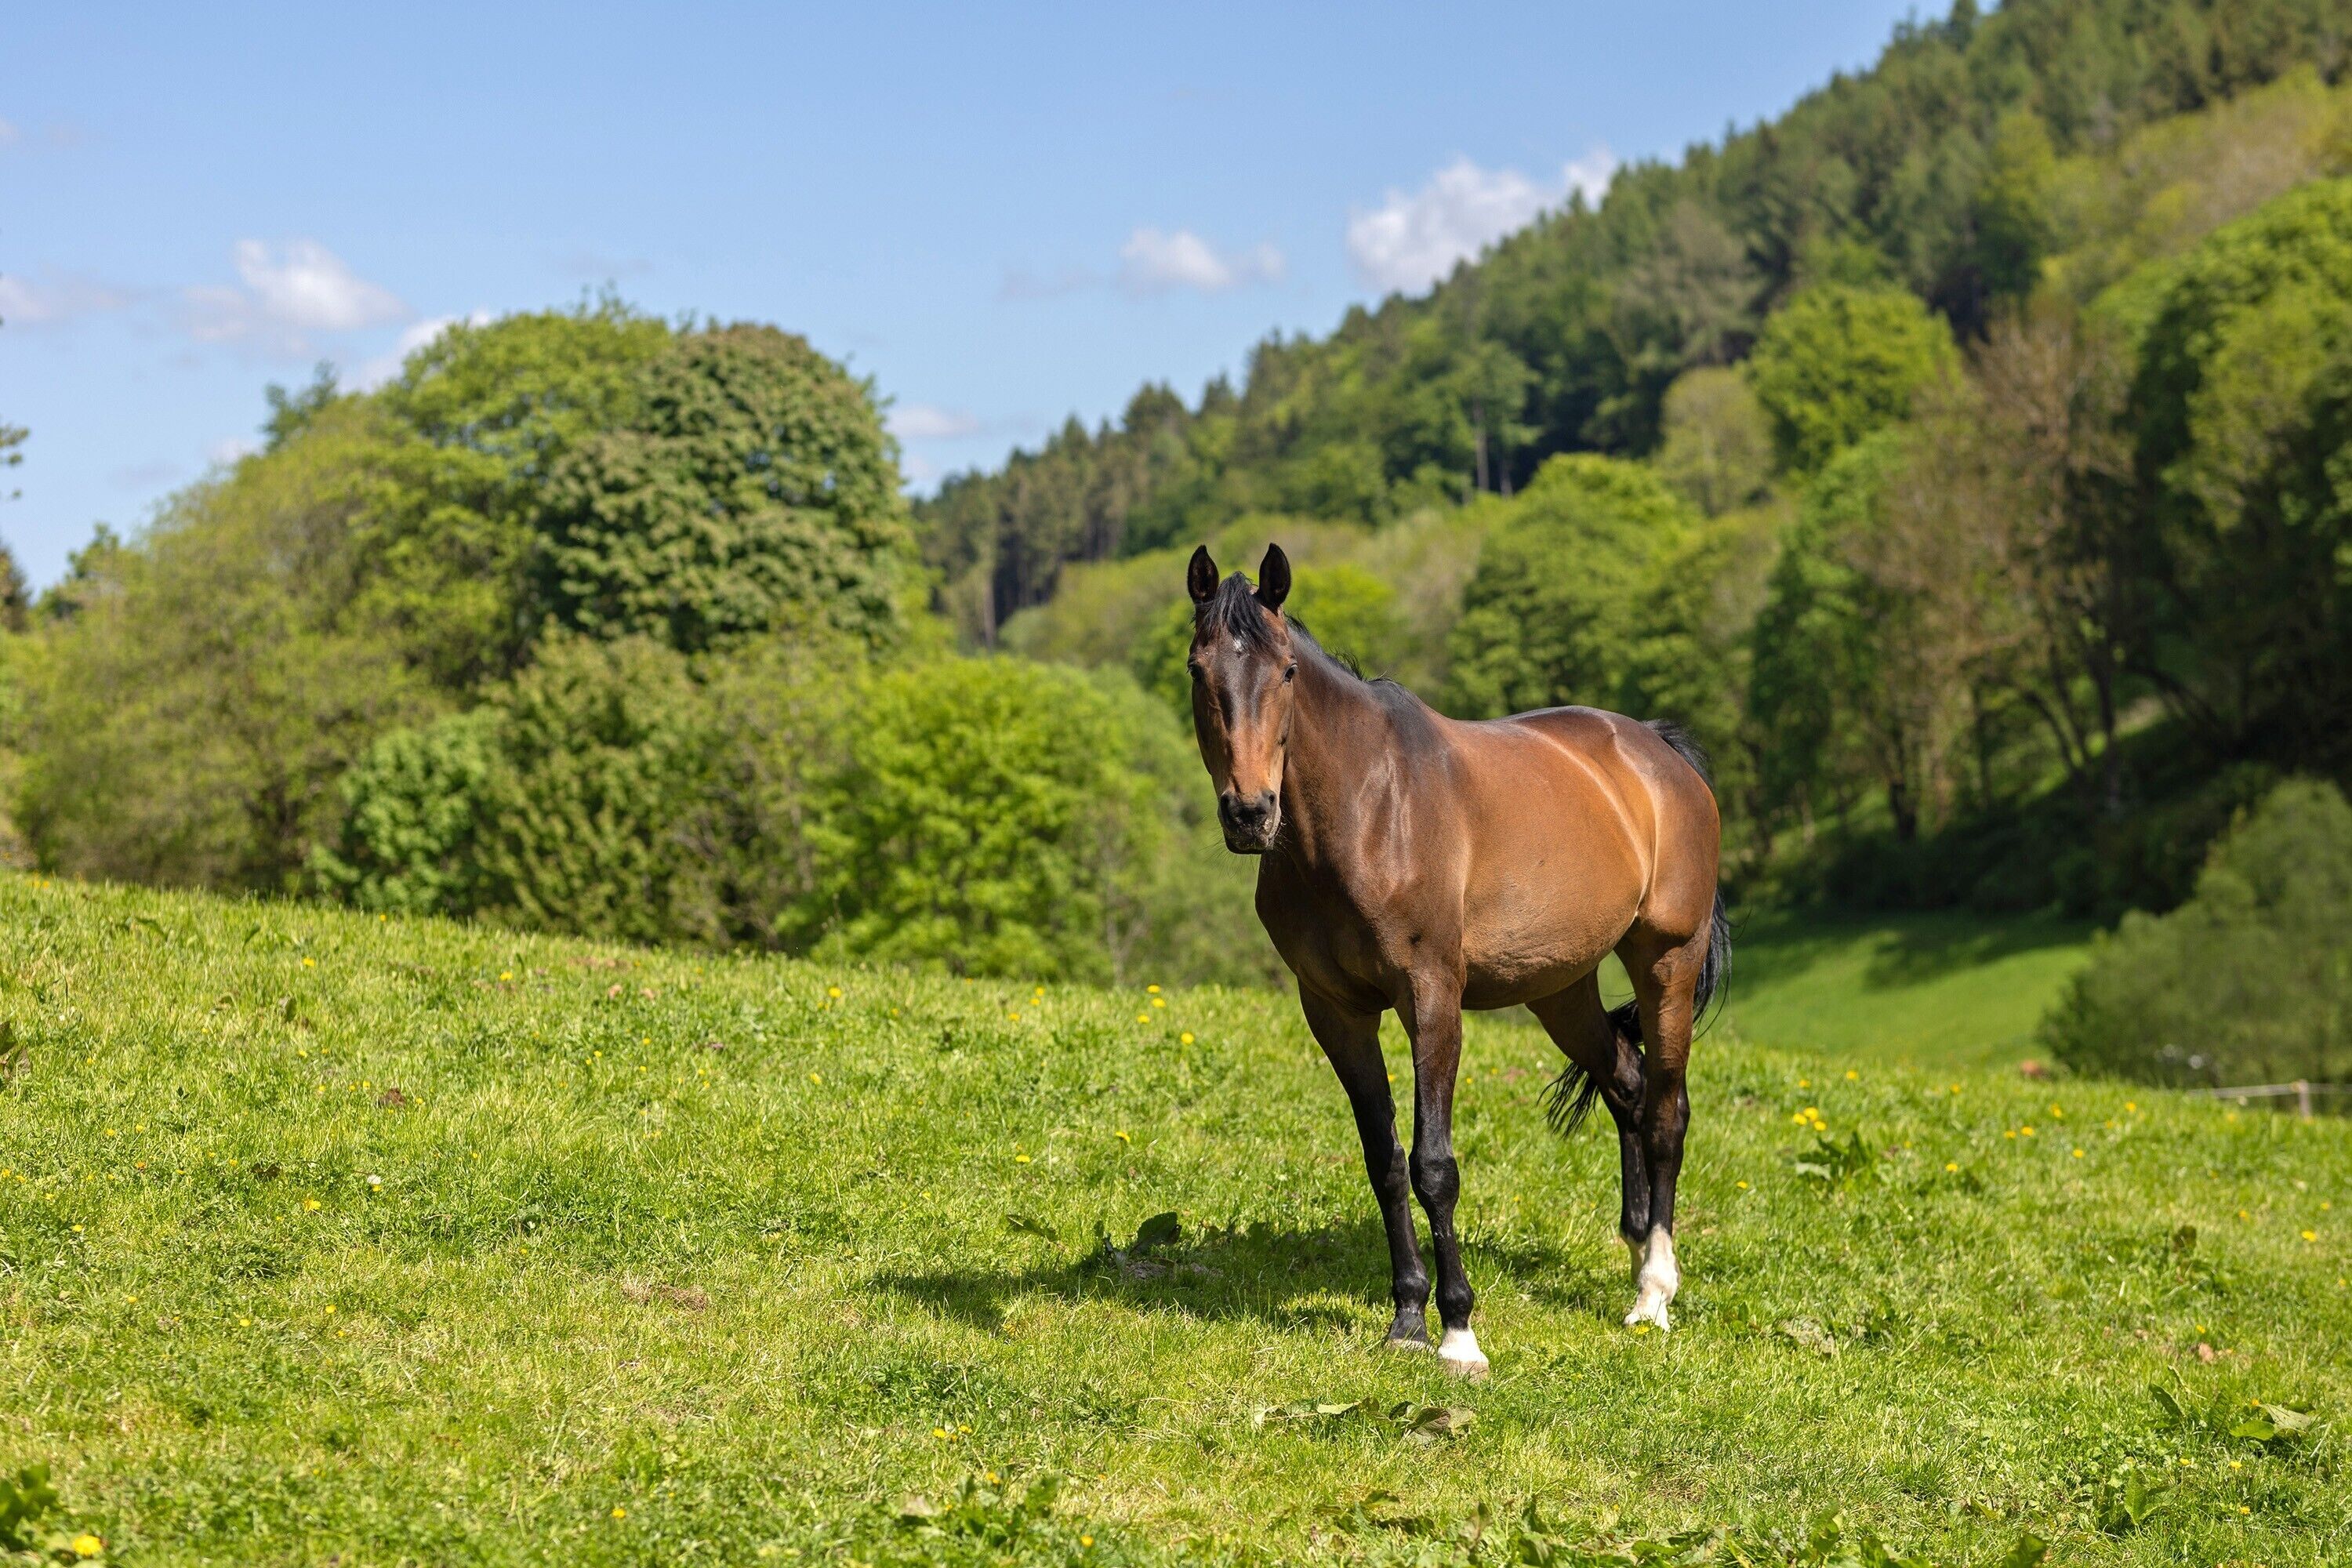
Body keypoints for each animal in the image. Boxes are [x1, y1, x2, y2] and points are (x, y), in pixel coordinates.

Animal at [1183, 543, 1728, 1376]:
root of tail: (1659, 754)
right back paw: (1637, 1253)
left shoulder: (1431, 998)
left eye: (1286, 671)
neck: (1368, 810)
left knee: (1667, 1111)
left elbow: (1433, 1167)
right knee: (1629, 1086)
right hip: (1560, 989)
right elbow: (1383, 1160)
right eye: (1197, 669)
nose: (1250, 814)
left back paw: (1653, 1295)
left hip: (1667, 958)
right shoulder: (1335, 1012)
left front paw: (1458, 1332)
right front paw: (1407, 1318)